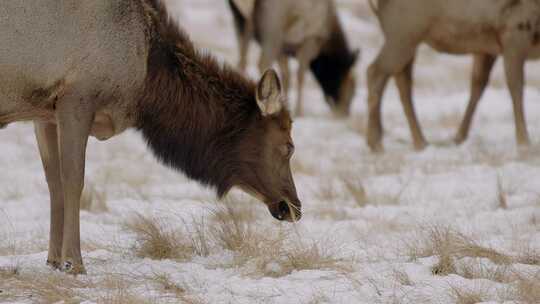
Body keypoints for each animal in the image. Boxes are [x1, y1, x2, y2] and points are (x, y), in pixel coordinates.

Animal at [0, 0, 302, 276]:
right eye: (289, 147)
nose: (294, 207)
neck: (147, 79)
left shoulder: (45, 112)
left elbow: (54, 184)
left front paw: (53, 261)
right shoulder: (77, 97)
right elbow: (74, 181)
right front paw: (75, 263)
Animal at [227, 0, 358, 116]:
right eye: (352, 89)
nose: (344, 113)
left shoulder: (283, 49)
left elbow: (286, 77)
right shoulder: (309, 41)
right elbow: (300, 75)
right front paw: (299, 111)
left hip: (242, 19)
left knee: (242, 59)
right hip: (272, 25)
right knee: (262, 62)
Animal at [368, 0, 540, 152]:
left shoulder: (488, 48)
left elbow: (478, 85)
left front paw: (459, 138)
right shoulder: (515, 31)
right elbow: (516, 87)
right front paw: (524, 142)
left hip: (406, 38)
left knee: (402, 81)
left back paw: (419, 141)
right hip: (403, 34)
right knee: (376, 71)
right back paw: (376, 143)